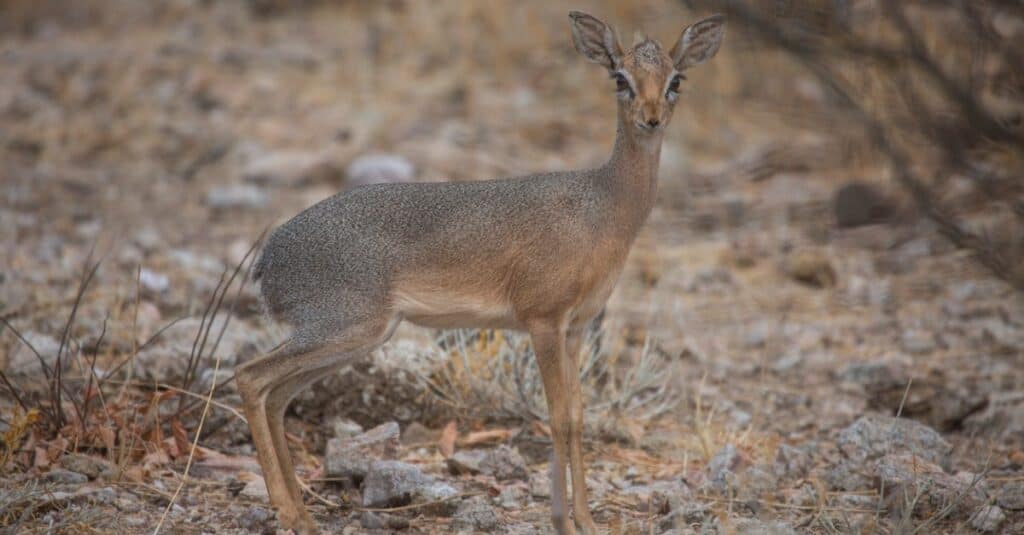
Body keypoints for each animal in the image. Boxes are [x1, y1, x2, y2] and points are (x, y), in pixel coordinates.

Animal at [237, 10, 729, 528]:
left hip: (353, 337)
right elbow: (557, 417)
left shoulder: (576, 329)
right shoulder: (543, 321)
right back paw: (286, 511)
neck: (603, 208)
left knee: (277, 395)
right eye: (620, 78)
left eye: (676, 80)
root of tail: (269, 257)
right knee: (251, 377)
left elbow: (577, 418)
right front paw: (563, 521)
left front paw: (588, 521)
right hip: (344, 327)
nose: (650, 118)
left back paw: (300, 512)